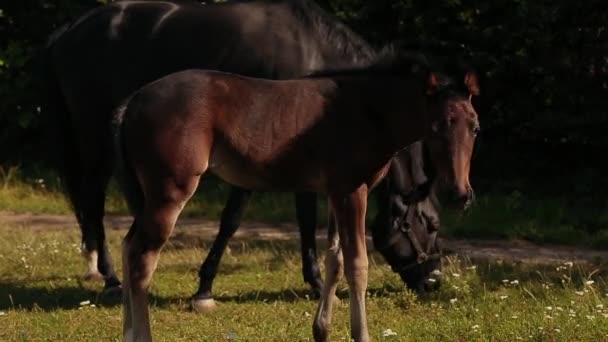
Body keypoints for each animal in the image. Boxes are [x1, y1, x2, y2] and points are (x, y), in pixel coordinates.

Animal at [42, 0, 372, 294]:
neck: (310, 50)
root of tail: (70, 30)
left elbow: (303, 216)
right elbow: (237, 218)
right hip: (94, 136)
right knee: (93, 200)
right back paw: (110, 277)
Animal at [110, 50, 480, 342]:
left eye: (475, 128)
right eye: (437, 126)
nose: (459, 192)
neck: (368, 111)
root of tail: (131, 103)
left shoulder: (335, 192)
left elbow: (335, 259)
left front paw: (321, 330)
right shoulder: (352, 190)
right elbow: (358, 264)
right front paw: (360, 334)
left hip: (148, 196)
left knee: (128, 246)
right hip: (170, 191)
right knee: (142, 258)